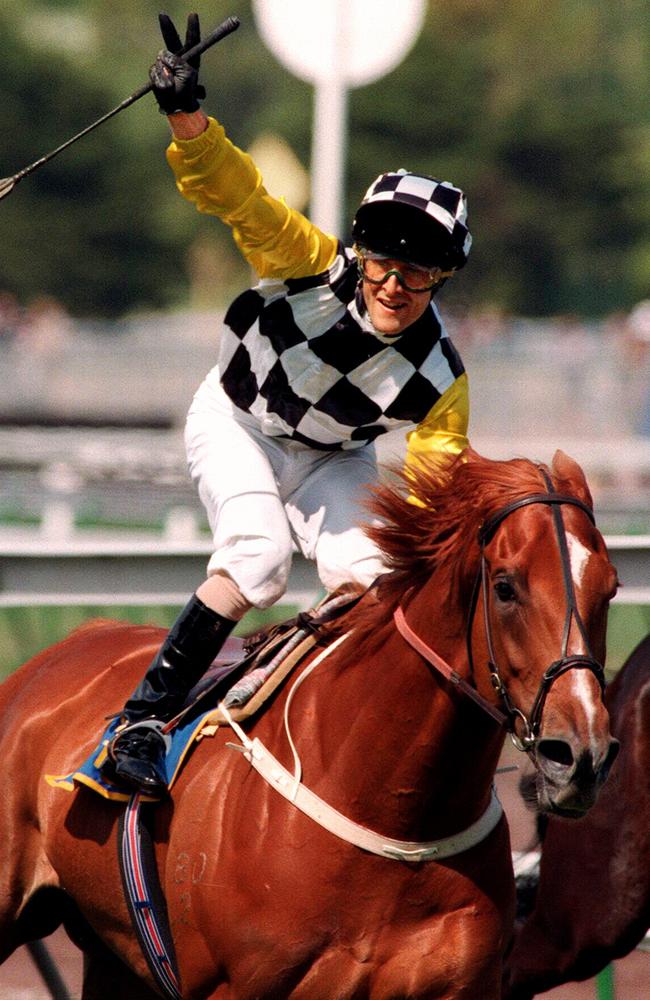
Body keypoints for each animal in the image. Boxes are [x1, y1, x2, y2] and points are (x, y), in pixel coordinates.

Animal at [0, 454, 616, 1000]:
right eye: (506, 587)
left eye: (608, 588)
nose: (578, 755)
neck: (390, 807)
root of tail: (62, 648)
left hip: (114, 956)